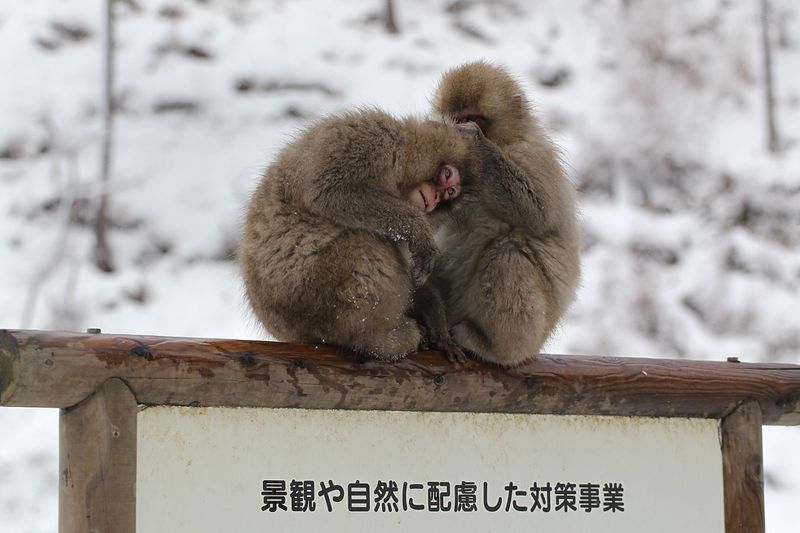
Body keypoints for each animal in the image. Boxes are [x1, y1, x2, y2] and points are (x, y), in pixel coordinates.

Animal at [239, 108, 482, 360]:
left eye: (449, 194)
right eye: (447, 175)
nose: (434, 200)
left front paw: (434, 316)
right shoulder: (374, 140)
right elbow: (329, 193)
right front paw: (418, 230)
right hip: (307, 293)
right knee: (366, 245)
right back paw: (380, 341)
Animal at [428, 61, 584, 366]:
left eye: (472, 118)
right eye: (453, 116)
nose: (457, 132)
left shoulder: (531, 153)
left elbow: (539, 214)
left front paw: (475, 142)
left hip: (534, 333)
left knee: (509, 251)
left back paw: (492, 348)